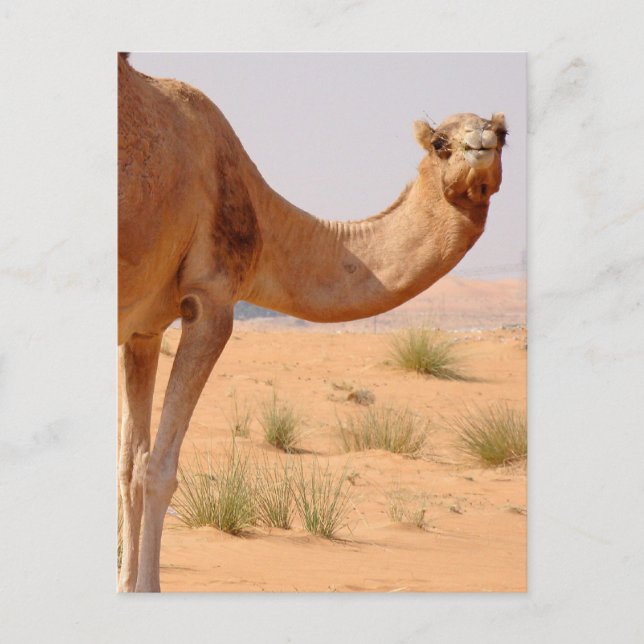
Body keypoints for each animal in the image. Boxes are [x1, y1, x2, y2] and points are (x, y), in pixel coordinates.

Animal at [117, 53, 507, 592]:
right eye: (440, 143)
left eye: (504, 134)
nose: (481, 143)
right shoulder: (211, 300)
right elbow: (159, 468)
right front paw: (147, 589)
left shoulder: (143, 328)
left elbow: (130, 467)